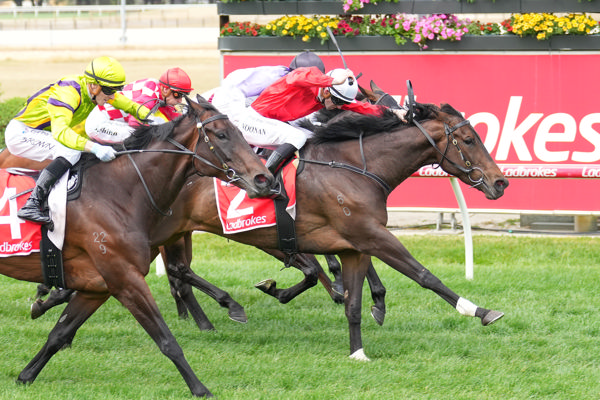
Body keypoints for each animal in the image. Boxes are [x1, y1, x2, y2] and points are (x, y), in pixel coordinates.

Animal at [0, 96, 272, 396]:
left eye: (240, 131)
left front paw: (25, 376)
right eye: (222, 135)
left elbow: (59, 334)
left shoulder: (97, 287)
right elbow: (167, 340)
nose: (265, 178)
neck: (116, 193)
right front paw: (200, 389)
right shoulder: (126, 280)